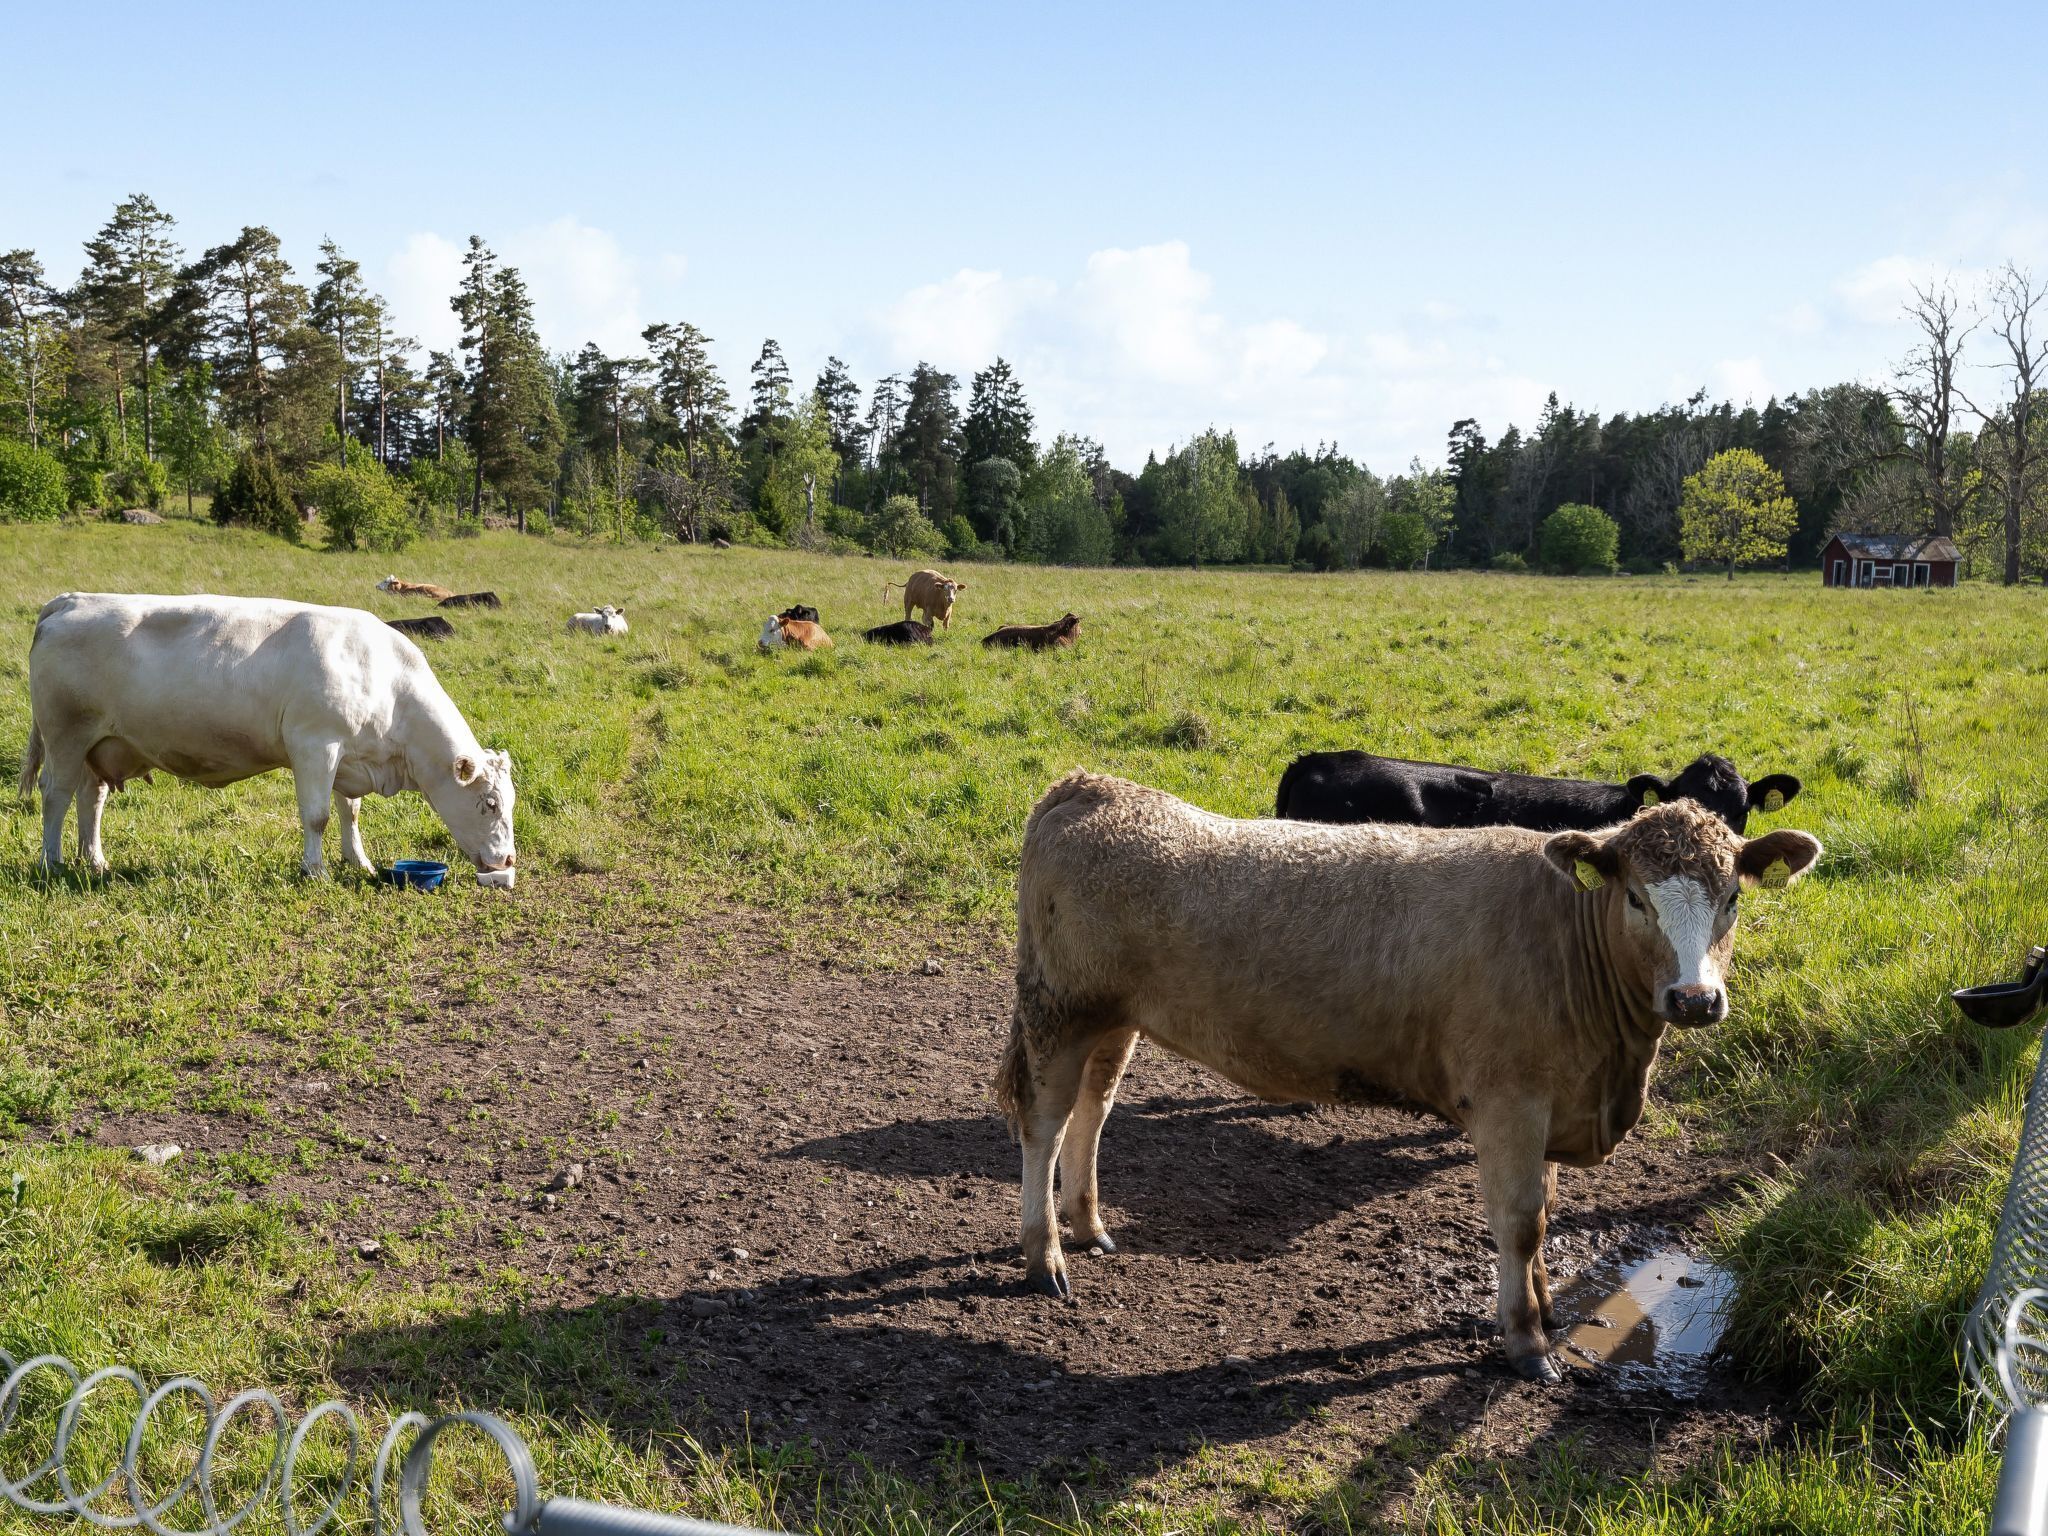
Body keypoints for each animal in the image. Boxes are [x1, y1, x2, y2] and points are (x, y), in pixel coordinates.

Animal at [19, 593, 518, 886]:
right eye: (490, 803)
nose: (509, 860)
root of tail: (72, 600)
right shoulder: (316, 746)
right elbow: (317, 816)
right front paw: (315, 871)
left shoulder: (348, 758)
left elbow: (350, 813)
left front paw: (358, 861)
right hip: (65, 734)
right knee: (55, 795)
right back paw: (53, 861)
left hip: (100, 743)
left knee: (91, 798)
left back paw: (95, 861)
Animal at [995, 771, 1819, 1381]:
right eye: (1637, 897)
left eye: (1733, 897)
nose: (1695, 999)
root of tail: (1093, 786)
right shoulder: (1510, 1104)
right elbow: (1520, 1221)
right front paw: (1526, 1341)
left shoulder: (1554, 1102)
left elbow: (1548, 1213)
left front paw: (1549, 1307)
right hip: (1060, 1009)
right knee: (1044, 1121)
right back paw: (1045, 1255)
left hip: (1114, 1019)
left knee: (1094, 1110)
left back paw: (1089, 1224)